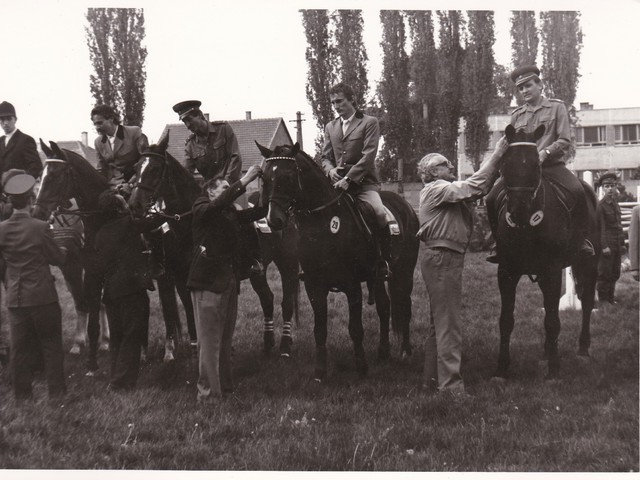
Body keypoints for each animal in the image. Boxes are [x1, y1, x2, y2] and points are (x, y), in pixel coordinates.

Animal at [33, 139, 111, 372]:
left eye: (55, 176)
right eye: (40, 176)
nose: (37, 214)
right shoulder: (72, 265)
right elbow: (81, 301)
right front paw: (79, 343)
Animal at [128, 133, 302, 358]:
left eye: (155, 169)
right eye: (136, 167)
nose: (134, 205)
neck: (188, 221)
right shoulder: (181, 278)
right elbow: (189, 309)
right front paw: (195, 347)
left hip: (288, 264)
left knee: (286, 302)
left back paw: (285, 345)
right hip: (259, 271)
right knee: (267, 298)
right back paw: (267, 343)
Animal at [255, 141, 420, 380]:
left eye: (288, 176)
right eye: (265, 177)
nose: (273, 220)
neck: (325, 224)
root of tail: (405, 205)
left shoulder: (352, 285)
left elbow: (356, 329)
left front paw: (361, 367)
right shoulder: (314, 286)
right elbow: (319, 329)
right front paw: (320, 371)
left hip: (405, 272)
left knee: (404, 306)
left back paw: (405, 352)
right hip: (379, 277)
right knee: (384, 307)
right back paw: (383, 352)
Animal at [490, 125, 600, 380]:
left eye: (536, 165)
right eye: (505, 164)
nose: (519, 211)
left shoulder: (552, 270)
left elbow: (552, 320)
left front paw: (554, 370)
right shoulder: (506, 271)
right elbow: (506, 320)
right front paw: (501, 368)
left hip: (589, 263)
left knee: (587, 302)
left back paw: (582, 349)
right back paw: (547, 351)